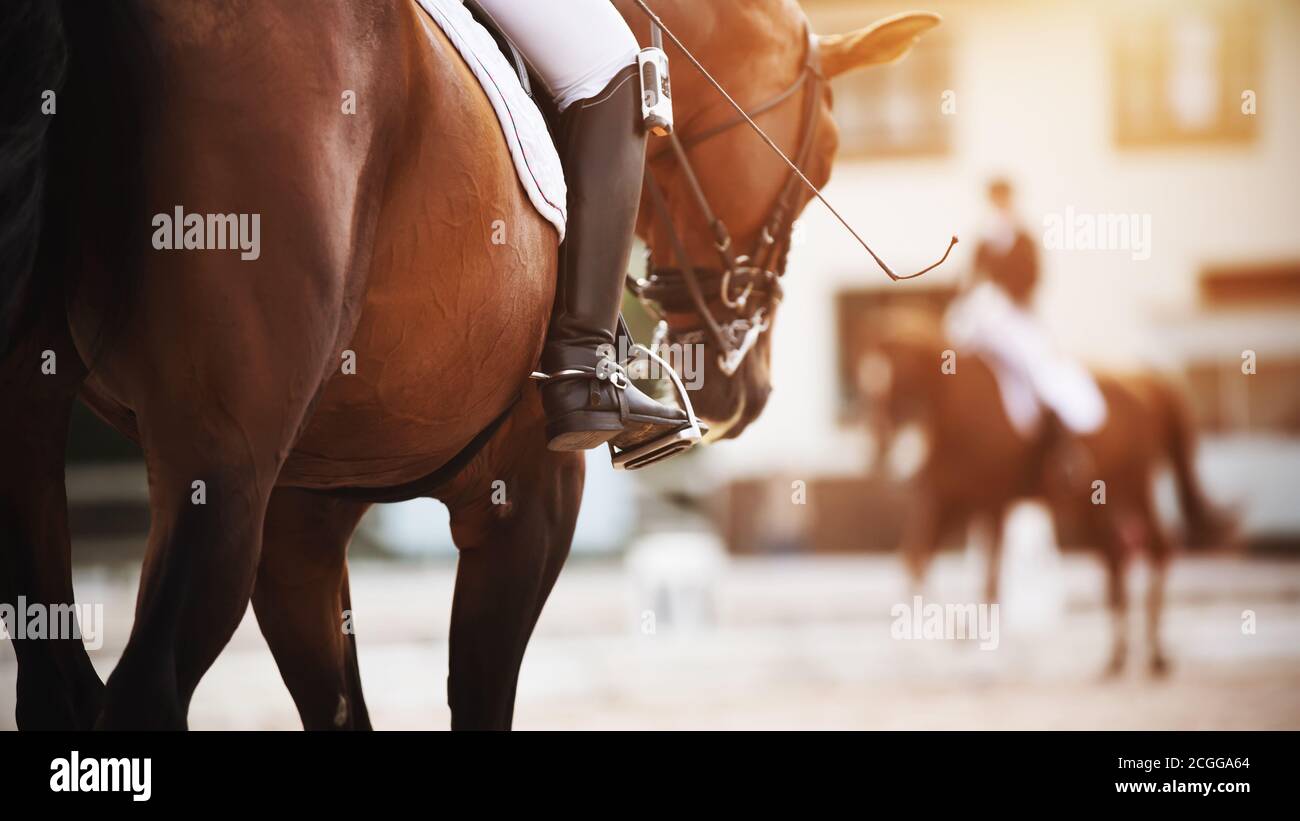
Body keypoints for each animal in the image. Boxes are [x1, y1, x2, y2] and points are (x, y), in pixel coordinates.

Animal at [0, 1, 935, 732]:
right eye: (820, 165)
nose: (742, 387)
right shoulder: (527, 496)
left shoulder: (300, 516)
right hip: (219, 466)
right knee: (143, 692)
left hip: (46, 442)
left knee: (59, 686)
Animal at [857, 306, 1232, 675]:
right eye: (868, 384)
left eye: (897, 379)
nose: (879, 450)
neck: (956, 408)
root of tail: (1145, 382)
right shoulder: (945, 501)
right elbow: (914, 561)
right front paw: (952, 631)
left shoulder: (991, 502)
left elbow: (987, 579)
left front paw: (969, 636)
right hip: (1091, 503)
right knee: (1116, 556)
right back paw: (1119, 655)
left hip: (1132, 486)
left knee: (1157, 549)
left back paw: (1154, 653)